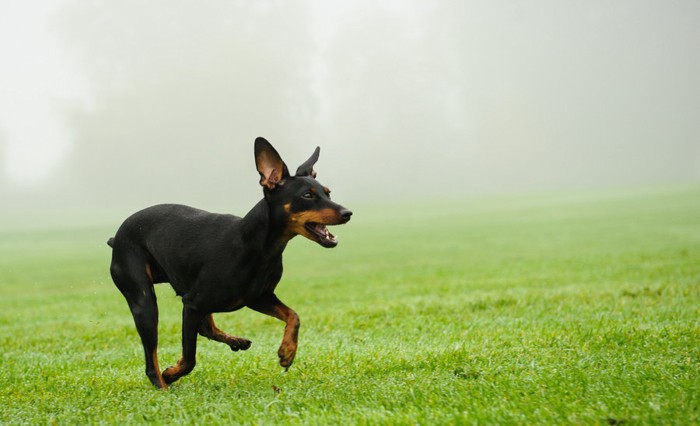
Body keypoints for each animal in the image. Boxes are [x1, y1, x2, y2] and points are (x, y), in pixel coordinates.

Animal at [107, 138, 352, 388]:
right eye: (307, 196)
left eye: (328, 193)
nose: (347, 213)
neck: (255, 245)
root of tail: (116, 238)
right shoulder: (191, 304)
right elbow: (189, 358)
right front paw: (172, 373)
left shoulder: (257, 297)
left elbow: (294, 315)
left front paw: (287, 352)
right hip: (145, 303)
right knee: (152, 360)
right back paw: (163, 384)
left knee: (207, 328)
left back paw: (237, 341)